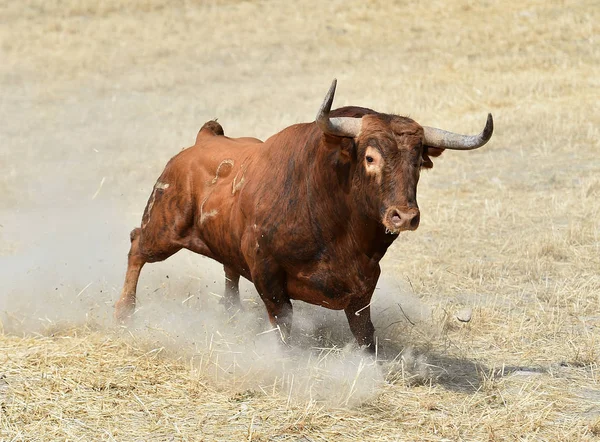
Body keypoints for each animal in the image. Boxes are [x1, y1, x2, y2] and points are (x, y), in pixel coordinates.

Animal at [116, 78, 492, 348]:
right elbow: (284, 325)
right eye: (370, 157)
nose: (405, 216)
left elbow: (365, 334)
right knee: (136, 246)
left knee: (228, 268)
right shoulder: (267, 270)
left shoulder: (364, 285)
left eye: (417, 162)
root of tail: (202, 140)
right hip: (163, 228)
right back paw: (124, 313)